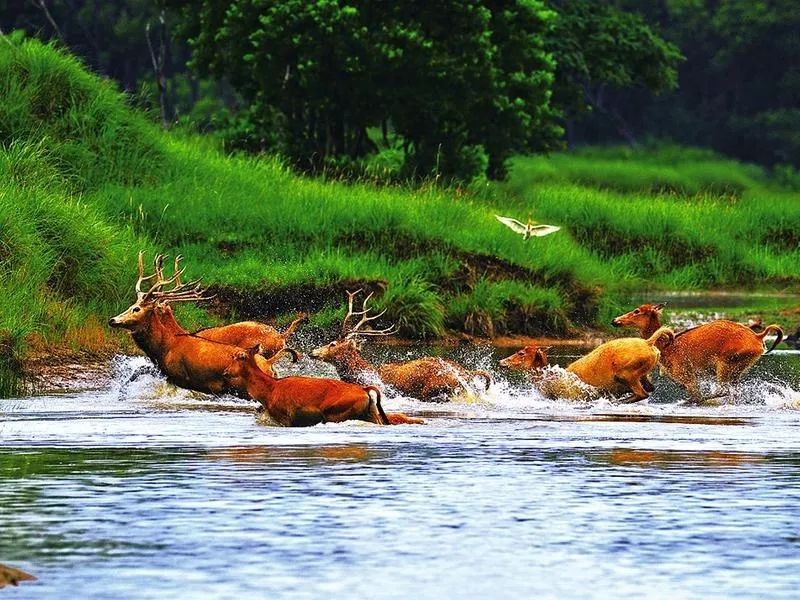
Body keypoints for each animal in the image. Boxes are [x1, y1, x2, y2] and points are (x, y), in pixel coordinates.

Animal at [108, 253, 298, 395]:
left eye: (136, 309)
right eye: (131, 306)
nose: (112, 320)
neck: (166, 345)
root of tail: (281, 337)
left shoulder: (179, 376)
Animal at [223, 346, 424, 426]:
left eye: (239, 356)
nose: (225, 372)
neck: (269, 390)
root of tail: (366, 390)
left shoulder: (286, 418)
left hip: (336, 414)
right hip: (371, 413)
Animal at [612, 302, 784, 402]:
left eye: (637, 311)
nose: (615, 321)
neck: (667, 347)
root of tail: (758, 337)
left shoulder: (687, 377)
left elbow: (696, 396)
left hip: (725, 364)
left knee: (720, 391)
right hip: (737, 370)